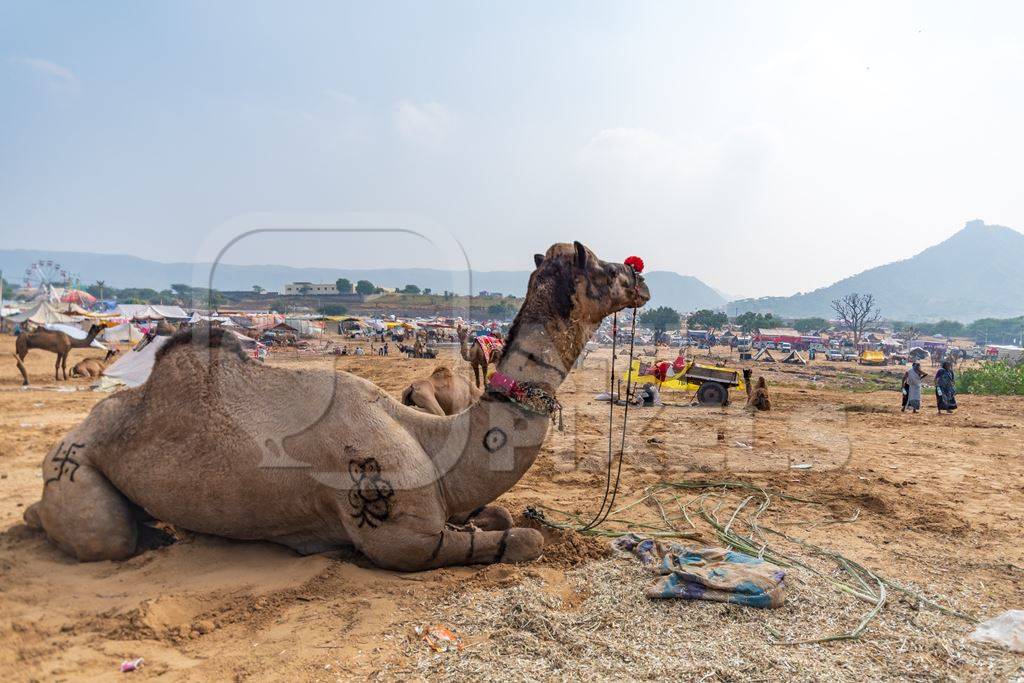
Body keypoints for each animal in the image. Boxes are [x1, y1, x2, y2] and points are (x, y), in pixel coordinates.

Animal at [22, 242, 647, 569]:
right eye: (599, 266)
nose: (641, 277)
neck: (435, 441)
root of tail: (71, 433)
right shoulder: (400, 535)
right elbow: (524, 539)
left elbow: (500, 517)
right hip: (74, 461)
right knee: (105, 536)